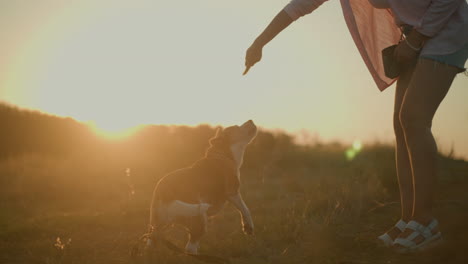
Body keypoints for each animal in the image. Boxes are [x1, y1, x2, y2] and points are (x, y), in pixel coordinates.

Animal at [146, 120, 256, 255]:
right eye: (236, 127)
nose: (251, 120)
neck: (222, 155)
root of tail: (165, 192)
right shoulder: (233, 193)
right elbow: (245, 209)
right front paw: (248, 227)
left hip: (156, 224)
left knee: (152, 241)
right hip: (199, 219)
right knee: (190, 247)